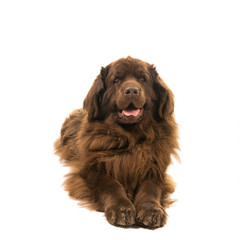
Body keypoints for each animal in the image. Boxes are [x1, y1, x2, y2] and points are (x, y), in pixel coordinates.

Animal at [54, 56, 178, 229]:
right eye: (116, 80)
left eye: (142, 79)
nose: (131, 90)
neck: (130, 137)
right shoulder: (92, 168)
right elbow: (110, 185)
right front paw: (122, 209)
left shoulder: (154, 167)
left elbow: (151, 188)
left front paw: (151, 210)